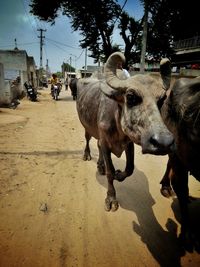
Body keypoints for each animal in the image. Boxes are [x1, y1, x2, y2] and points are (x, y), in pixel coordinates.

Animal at [76, 51, 174, 211]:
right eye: (131, 96)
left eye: (161, 100)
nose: (163, 142)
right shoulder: (105, 143)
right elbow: (110, 172)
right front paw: (111, 197)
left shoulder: (129, 143)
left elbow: (130, 168)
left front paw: (119, 174)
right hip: (86, 127)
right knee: (88, 139)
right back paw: (87, 155)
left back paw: (100, 166)